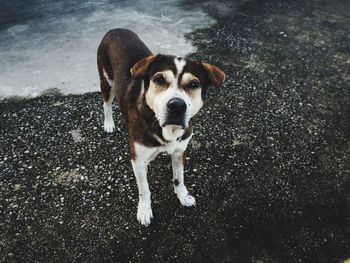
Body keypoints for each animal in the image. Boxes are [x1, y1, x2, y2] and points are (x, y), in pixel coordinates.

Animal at [96, 28, 224, 227]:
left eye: (193, 84)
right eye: (159, 79)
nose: (177, 106)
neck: (166, 128)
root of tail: (115, 29)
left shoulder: (180, 151)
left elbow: (179, 178)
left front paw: (183, 196)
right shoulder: (138, 161)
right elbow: (144, 189)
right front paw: (144, 211)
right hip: (106, 79)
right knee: (106, 103)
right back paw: (109, 123)